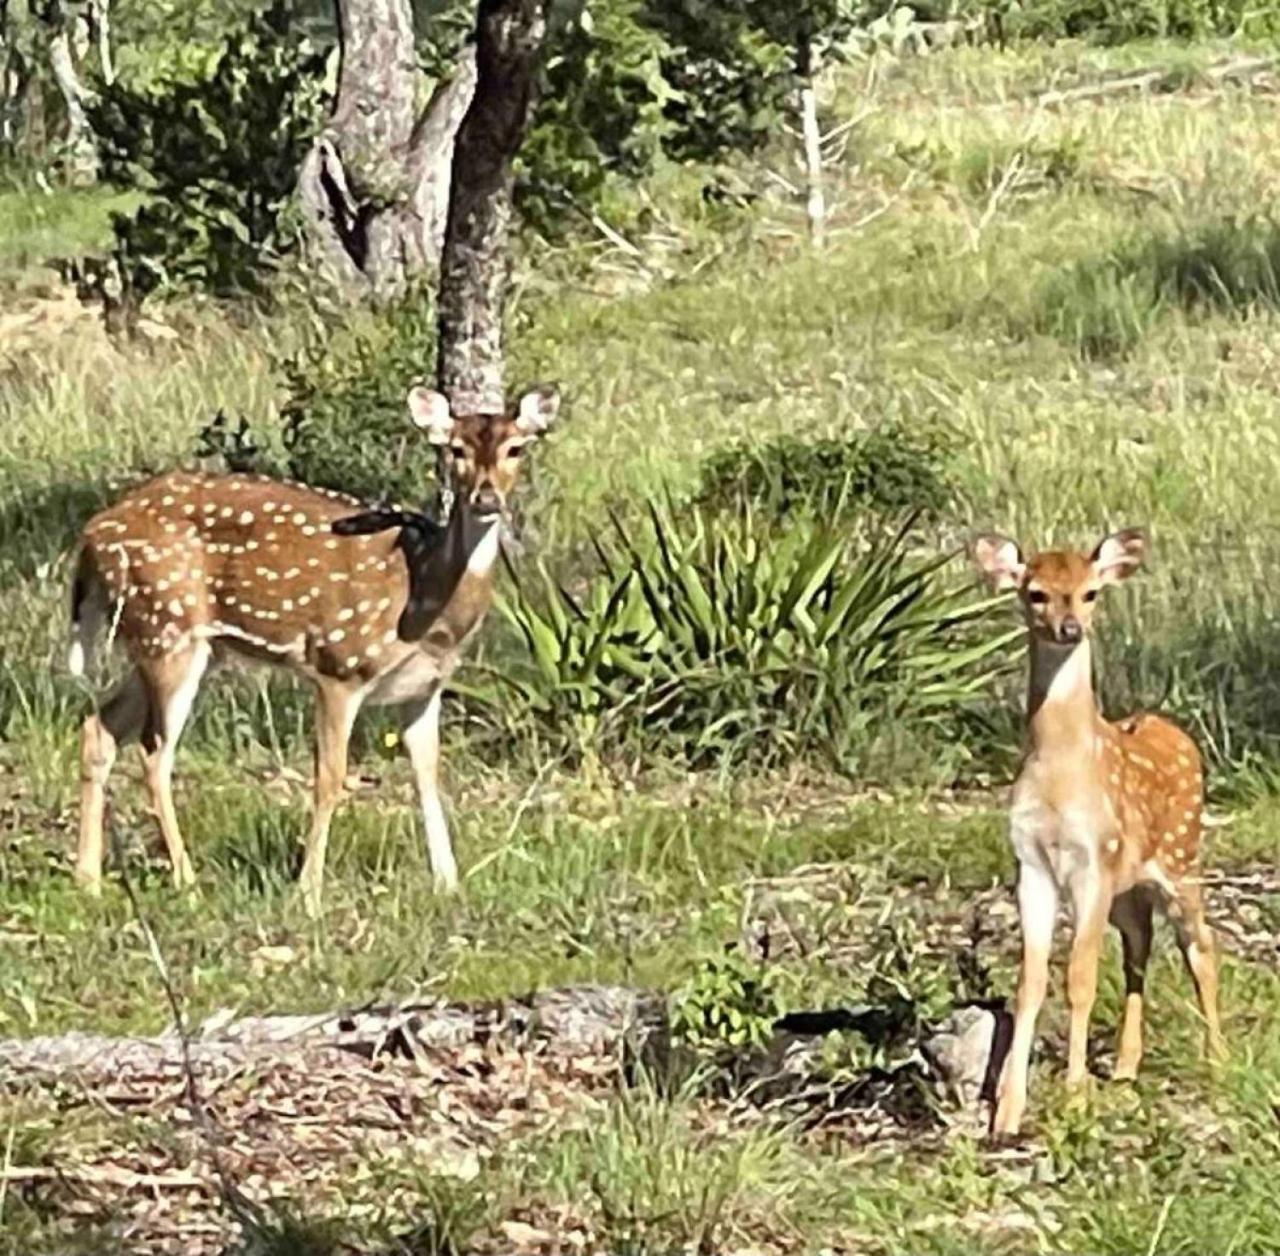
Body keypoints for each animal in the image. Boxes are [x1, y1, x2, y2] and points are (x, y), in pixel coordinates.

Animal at [67, 381, 560, 911]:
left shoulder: (423, 687)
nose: (487, 497)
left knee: (100, 726)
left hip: (173, 641)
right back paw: (187, 881)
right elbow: (330, 778)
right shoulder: (338, 665)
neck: (424, 600)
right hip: (169, 628)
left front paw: (448, 883)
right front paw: (308, 894)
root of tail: (90, 535)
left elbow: (428, 774)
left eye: (516, 448)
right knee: (154, 751)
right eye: (456, 450)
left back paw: (88, 879)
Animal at [972, 530, 1223, 1136]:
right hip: (1129, 888)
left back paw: (1219, 1062)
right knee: (1140, 948)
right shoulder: (1031, 864)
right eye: (1035, 593)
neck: (1063, 770)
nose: (1069, 628)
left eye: (1090, 593)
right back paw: (1127, 1067)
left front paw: (1073, 1097)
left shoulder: (1092, 862)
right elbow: (1031, 983)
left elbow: (1080, 977)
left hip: (1182, 857)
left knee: (1201, 947)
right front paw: (1007, 1112)